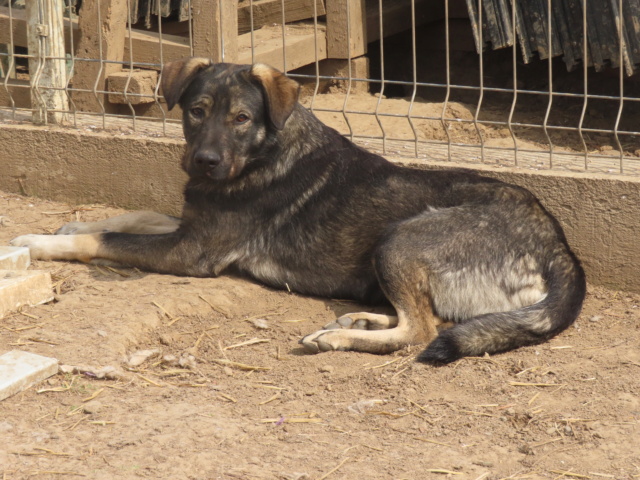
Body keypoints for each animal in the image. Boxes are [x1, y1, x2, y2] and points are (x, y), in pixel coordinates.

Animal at [11, 57, 584, 364]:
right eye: (196, 112)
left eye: (241, 118)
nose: (205, 162)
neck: (262, 152)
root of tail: (559, 247)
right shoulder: (191, 225)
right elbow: (133, 216)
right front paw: (73, 220)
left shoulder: (191, 252)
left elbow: (106, 241)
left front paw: (38, 242)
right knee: (426, 316)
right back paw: (359, 318)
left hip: (399, 239)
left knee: (422, 330)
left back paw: (337, 336)